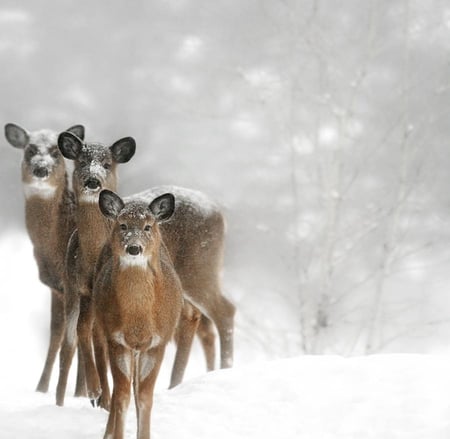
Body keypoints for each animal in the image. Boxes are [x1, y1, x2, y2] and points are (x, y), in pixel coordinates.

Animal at [3, 123, 87, 396]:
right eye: (30, 149)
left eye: (55, 152)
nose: (41, 168)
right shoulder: (56, 288)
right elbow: (55, 335)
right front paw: (40, 388)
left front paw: (80, 393)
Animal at [55, 132, 236, 410]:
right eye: (81, 162)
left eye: (107, 164)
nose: (92, 181)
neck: (90, 253)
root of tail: (219, 212)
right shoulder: (79, 289)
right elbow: (82, 335)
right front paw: (96, 394)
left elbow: (96, 339)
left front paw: (101, 396)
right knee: (193, 316)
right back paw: (176, 383)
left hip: (200, 268)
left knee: (224, 311)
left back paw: (223, 370)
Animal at [95, 190, 183, 439]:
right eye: (123, 225)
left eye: (147, 226)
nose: (134, 248)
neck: (138, 319)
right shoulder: (116, 340)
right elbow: (122, 396)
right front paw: (116, 435)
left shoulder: (158, 342)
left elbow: (144, 398)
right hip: (102, 331)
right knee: (117, 391)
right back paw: (107, 432)